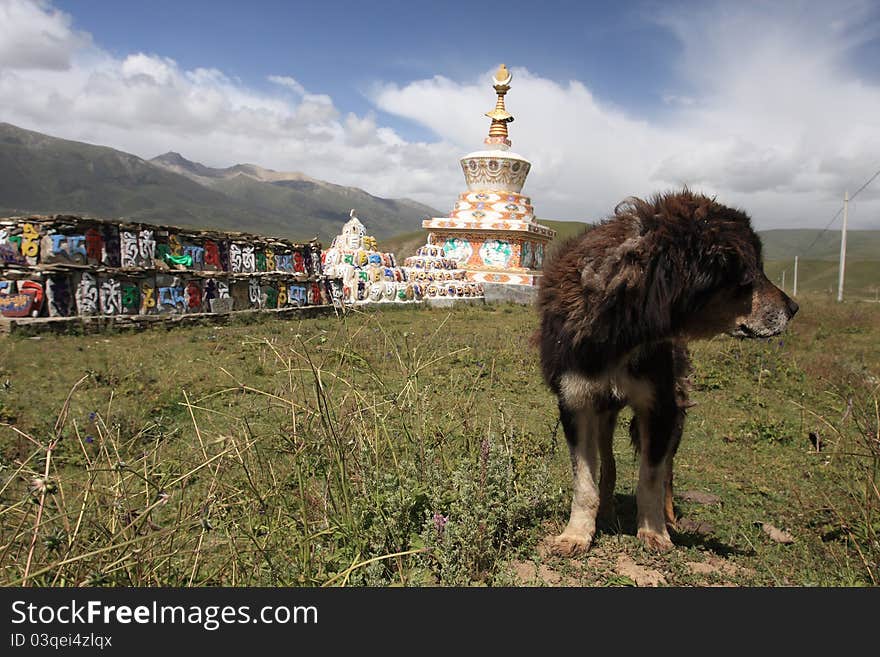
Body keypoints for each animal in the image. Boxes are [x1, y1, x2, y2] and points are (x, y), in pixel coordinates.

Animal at [536, 190, 796, 552]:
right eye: (746, 278)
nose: (793, 308)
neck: (621, 329)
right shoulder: (576, 402)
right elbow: (585, 481)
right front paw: (576, 534)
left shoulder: (659, 405)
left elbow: (651, 478)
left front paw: (654, 532)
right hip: (605, 412)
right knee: (609, 464)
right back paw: (607, 508)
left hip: (678, 407)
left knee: (667, 472)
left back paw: (669, 518)